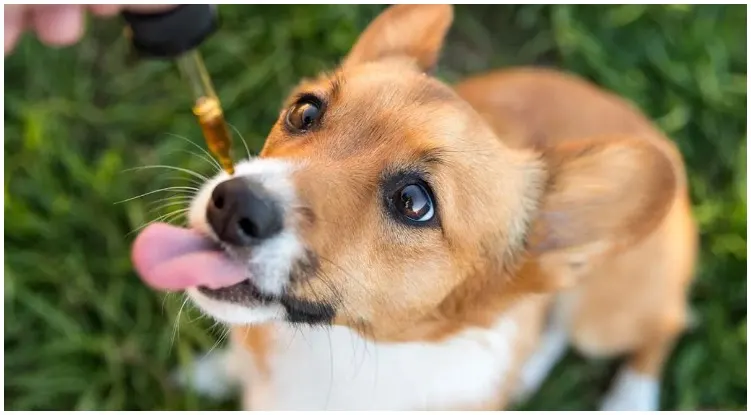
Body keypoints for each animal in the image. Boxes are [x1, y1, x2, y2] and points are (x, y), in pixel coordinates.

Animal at [131, 4, 700, 412]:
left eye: (414, 203)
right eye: (305, 111)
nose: (231, 205)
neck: (344, 355)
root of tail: (653, 131)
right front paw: (215, 372)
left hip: (605, 318)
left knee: (663, 324)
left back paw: (629, 398)